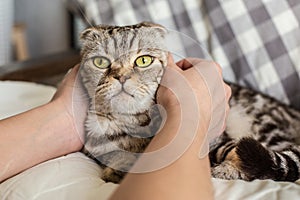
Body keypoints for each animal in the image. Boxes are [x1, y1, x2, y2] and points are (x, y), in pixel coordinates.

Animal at [78, 21, 300, 183]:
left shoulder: (220, 139)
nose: (122, 77)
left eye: (143, 60)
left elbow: (234, 151)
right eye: (101, 62)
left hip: (264, 125)